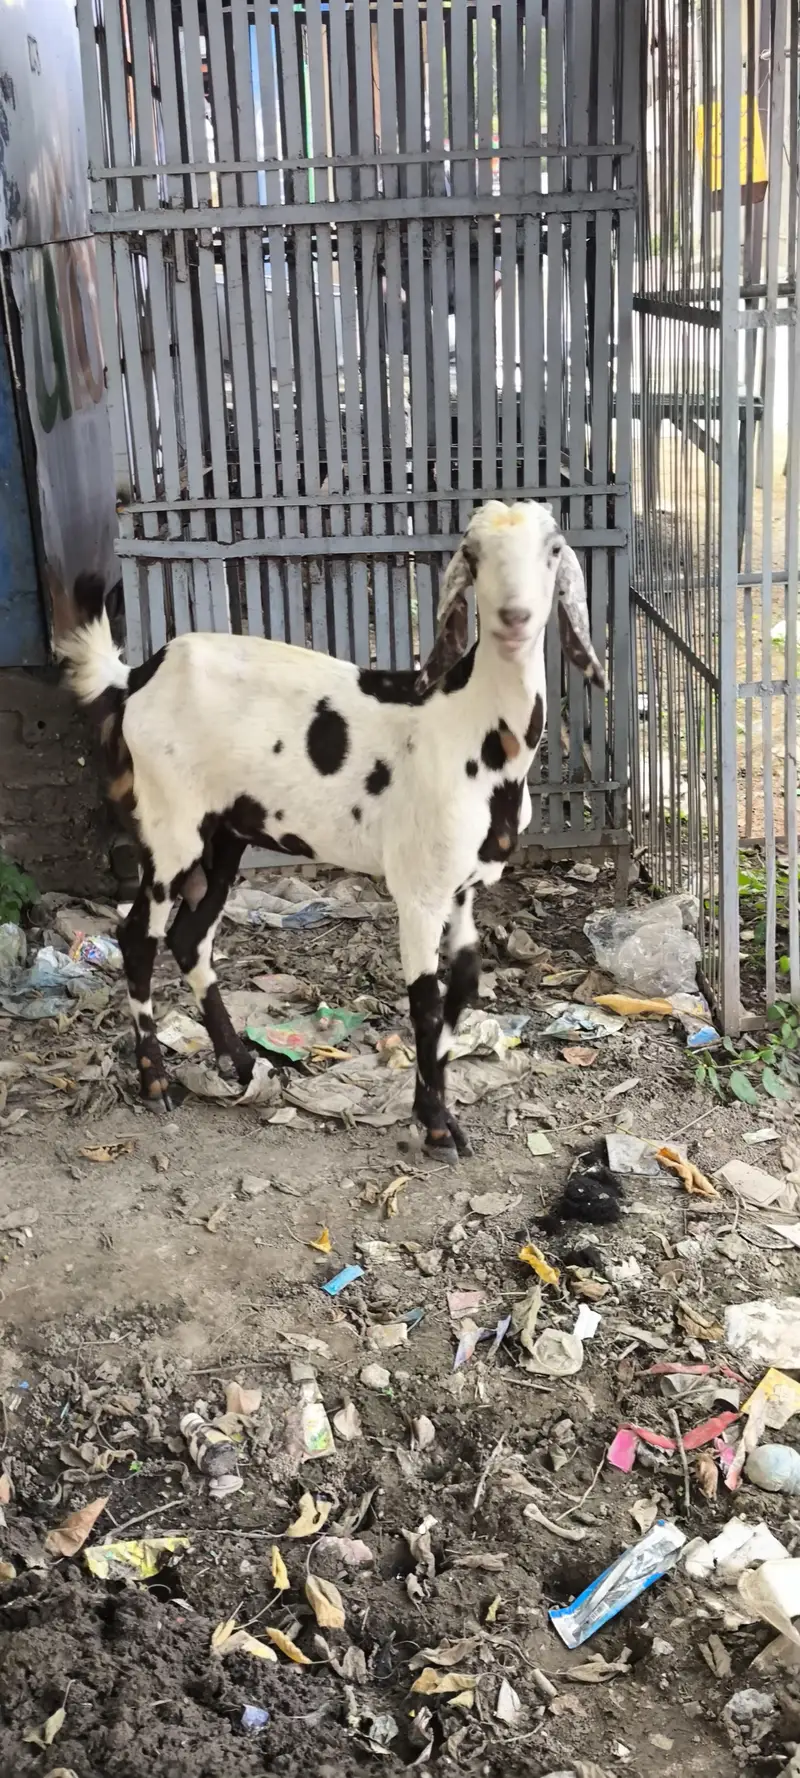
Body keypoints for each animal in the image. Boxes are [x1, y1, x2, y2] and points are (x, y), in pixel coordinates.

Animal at [58, 501, 604, 1161]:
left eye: (554, 549)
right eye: (472, 555)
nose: (515, 618)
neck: (469, 726)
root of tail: (137, 677)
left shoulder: (463, 888)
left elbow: (461, 991)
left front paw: (432, 1111)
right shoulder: (419, 892)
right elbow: (425, 1005)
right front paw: (438, 1127)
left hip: (225, 834)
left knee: (190, 937)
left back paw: (242, 1063)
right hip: (171, 829)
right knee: (139, 935)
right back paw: (156, 1081)